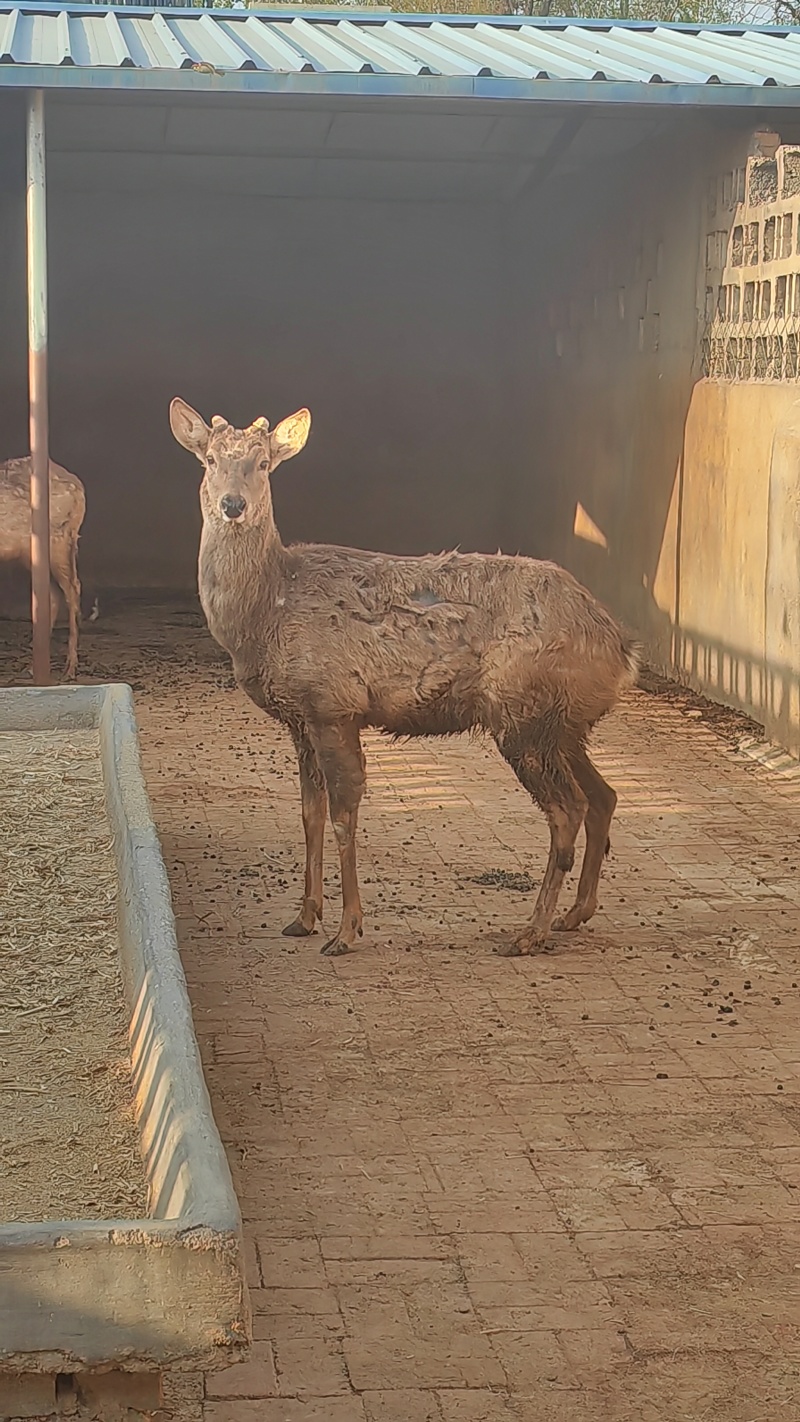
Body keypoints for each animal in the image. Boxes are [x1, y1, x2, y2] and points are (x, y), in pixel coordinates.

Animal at [0, 458, 85, 680]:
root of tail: (80, 489)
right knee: (54, 592)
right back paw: (34, 666)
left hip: (59, 541)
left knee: (73, 589)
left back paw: (69, 668)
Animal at [170, 398, 639, 959]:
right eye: (210, 459)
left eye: (262, 463)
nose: (233, 505)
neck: (267, 612)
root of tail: (620, 648)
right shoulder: (300, 719)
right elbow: (308, 814)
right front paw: (303, 918)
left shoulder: (334, 703)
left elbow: (343, 814)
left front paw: (346, 931)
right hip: (563, 723)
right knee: (604, 796)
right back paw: (575, 914)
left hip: (524, 712)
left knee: (568, 809)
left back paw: (530, 932)